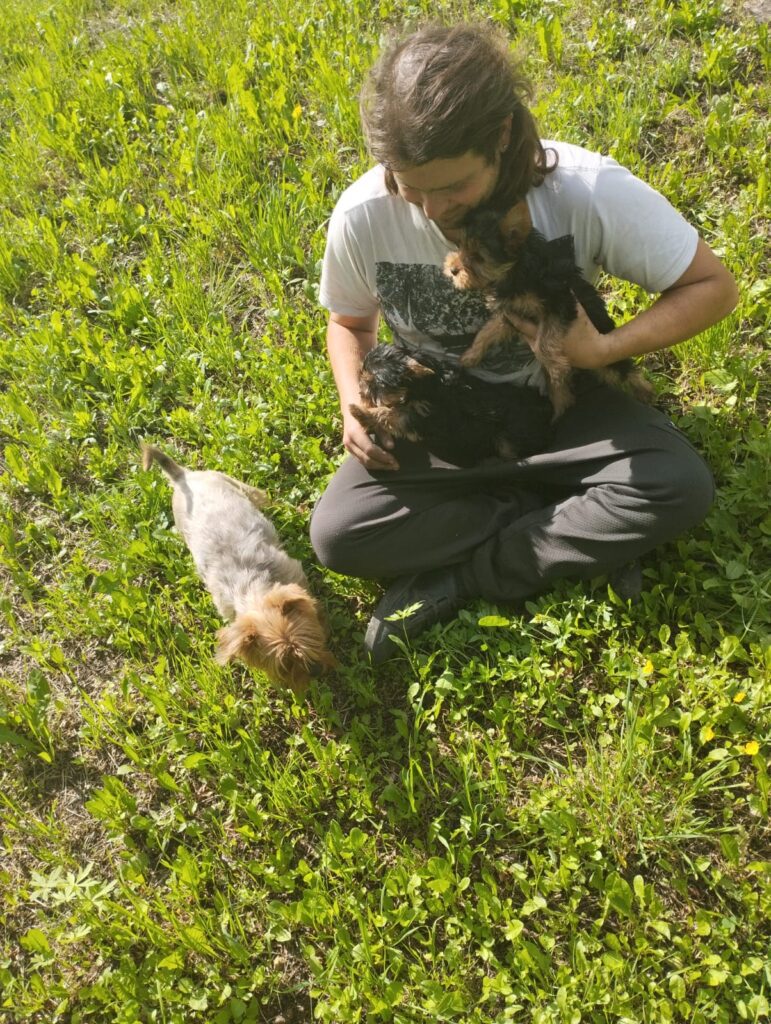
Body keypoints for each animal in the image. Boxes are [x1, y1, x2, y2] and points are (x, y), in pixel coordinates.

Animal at [141, 444, 333, 692]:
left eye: (310, 638)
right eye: (284, 665)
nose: (317, 671)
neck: (254, 587)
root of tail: (183, 478)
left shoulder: (294, 574)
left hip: (234, 483)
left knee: (263, 497)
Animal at [348, 344, 552, 468]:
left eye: (375, 383)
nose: (360, 389)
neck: (421, 386)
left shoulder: (423, 416)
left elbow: (392, 414)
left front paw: (359, 412)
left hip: (509, 438)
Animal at [442, 209, 651, 417]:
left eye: (479, 257)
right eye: (460, 247)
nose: (452, 269)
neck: (517, 271)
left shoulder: (559, 304)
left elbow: (544, 341)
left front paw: (555, 368)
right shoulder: (510, 314)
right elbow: (487, 332)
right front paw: (470, 355)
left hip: (604, 351)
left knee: (623, 369)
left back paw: (644, 391)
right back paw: (560, 406)